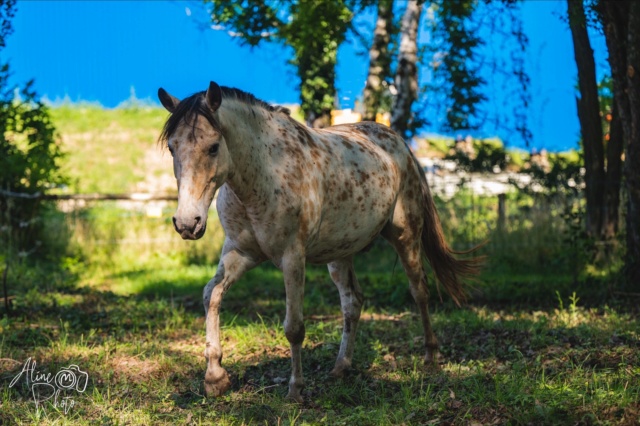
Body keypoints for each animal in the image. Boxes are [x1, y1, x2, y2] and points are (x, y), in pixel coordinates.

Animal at [159, 80, 480, 402]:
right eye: (172, 147)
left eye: (213, 147)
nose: (187, 223)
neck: (263, 172)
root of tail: (399, 144)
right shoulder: (240, 251)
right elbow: (211, 295)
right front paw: (215, 377)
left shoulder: (292, 257)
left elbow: (294, 327)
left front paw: (295, 390)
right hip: (340, 253)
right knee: (352, 302)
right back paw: (341, 367)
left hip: (406, 236)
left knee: (420, 291)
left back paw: (430, 356)